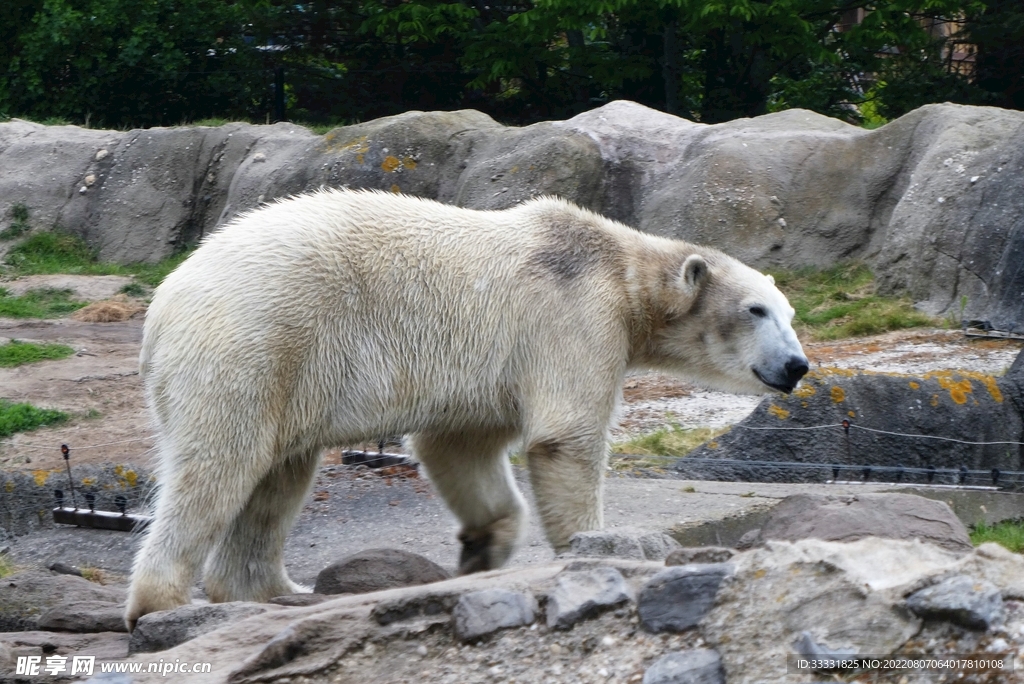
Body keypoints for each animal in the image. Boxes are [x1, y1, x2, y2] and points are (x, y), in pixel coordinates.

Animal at [123, 189, 802, 626]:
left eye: (789, 313)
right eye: (755, 310)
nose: (797, 366)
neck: (619, 266)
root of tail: (163, 306)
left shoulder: (494, 366)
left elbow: (460, 445)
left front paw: (483, 547)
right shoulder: (572, 314)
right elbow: (565, 435)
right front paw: (595, 547)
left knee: (277, 477)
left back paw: (275, 590)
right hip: (256, 342)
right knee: (220, 465)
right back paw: (165, 601)